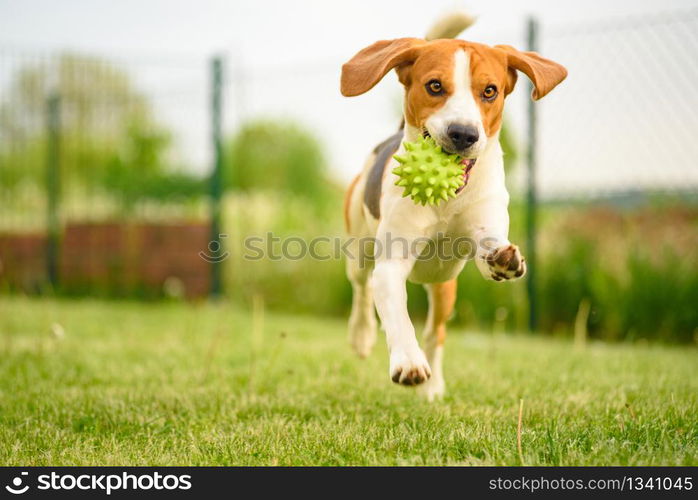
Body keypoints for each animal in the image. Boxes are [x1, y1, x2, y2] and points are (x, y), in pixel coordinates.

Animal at [340, 16, 564, 398]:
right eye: (434, 86)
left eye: (489, 91)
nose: (463, 133)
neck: (447, 199)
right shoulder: (391, 263)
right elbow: (397, 316)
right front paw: (408, 362)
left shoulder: (486, 225)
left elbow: (490, 248)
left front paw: (503, 260)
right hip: (359, 246)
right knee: (361, 287)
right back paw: (362, 335)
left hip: (444, 285)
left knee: (436, 331)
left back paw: (433, 389)